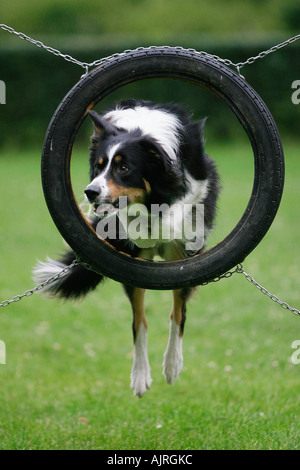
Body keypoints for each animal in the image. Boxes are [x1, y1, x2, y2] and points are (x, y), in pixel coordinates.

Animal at [33, 99, 220, 396]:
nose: (90, 192)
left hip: (179, 259)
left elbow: (187, 202)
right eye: (99, 167)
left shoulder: (195, 187)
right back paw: (141, 376)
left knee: (177, 311)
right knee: (139, 321)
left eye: (124, 169)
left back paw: (172, 365)